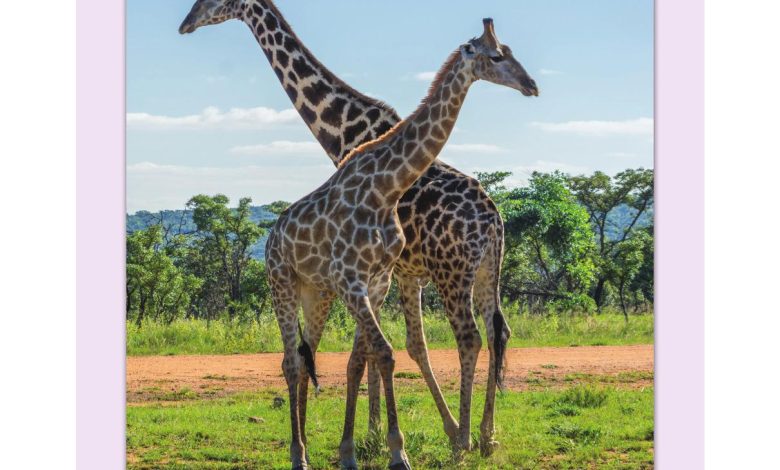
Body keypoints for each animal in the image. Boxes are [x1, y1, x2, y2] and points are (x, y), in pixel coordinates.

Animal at [180, 0, 540, 456]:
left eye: (212, 3)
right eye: (500, 54)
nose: (186, 23)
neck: (342, 130)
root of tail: (493, 218)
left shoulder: (389, 273)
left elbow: (381, 351)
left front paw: (377, 436)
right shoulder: (392, 275)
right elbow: (389, 349)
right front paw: (376, 434)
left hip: (452, 272)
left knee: (468, 337)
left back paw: (463, 439)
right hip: (487, 270)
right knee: (498, 331)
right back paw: (487, 434)